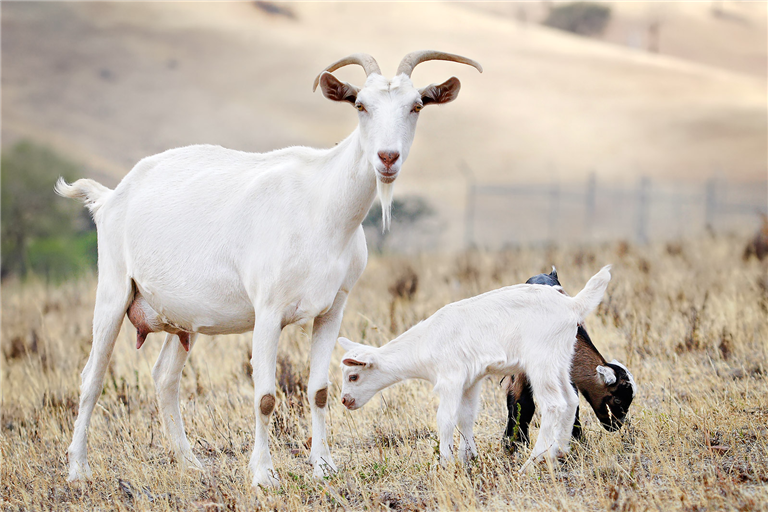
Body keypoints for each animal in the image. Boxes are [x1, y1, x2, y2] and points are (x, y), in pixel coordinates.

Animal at [55, 51, 482, 488]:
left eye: (416, 106)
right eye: (361, 105)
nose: (387, 158)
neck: (322, 207)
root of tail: (110, 197)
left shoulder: (333, 309)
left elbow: (318, 391)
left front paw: (323, 466)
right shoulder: (268, 310)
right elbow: (264, 396)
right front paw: (263, 475)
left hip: (183, 319)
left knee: (164, 378)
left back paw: (189, 463)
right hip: (114, 290)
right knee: (92, 378)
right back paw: (78, 468)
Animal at [339, 266, 612, 472]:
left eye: (353, 376)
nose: (344, 400)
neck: (425, 343)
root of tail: (572, 305)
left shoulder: (450, 378)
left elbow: (445, 419)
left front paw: (445, 464)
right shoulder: (470, 381)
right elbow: (466, 417)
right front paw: (468, 458)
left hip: (541, 362)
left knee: (554, 404)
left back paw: (532, 463)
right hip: (560, 359)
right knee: (571, 399)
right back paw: (560, 452)